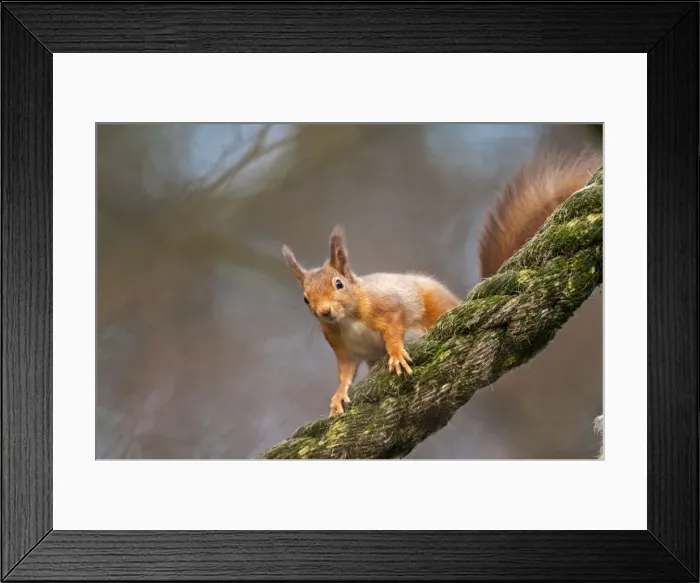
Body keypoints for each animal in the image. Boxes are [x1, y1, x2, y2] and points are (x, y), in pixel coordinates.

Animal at [281, 148, 603, 419]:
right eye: (306, 299)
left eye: (339, 284)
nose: (325, 312)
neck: (348, 318)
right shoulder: (343, 348)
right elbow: (345, 374)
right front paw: (338, 396)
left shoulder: (386, 305)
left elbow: (394, 325)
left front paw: (396, 353)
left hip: (433, 303)